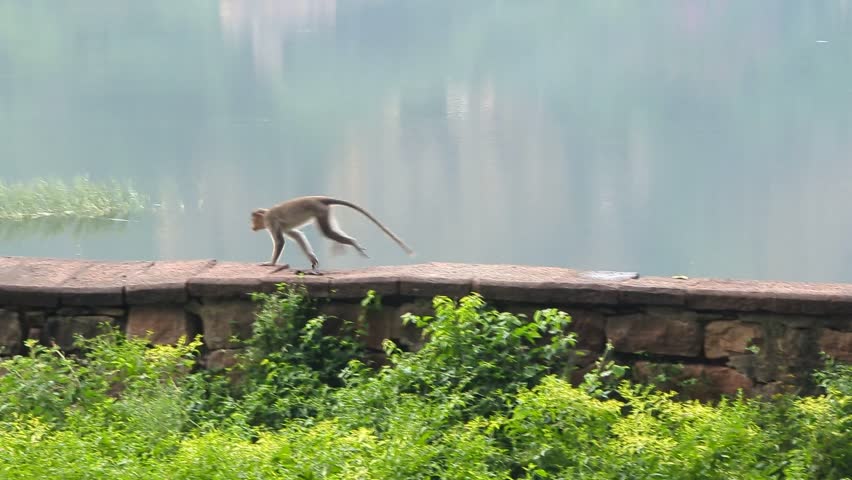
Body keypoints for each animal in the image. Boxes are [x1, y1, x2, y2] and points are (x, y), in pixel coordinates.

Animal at [251, 196, 414, 274]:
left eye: (253, 218)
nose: (251, 226)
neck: (266, 214)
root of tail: (318, 198)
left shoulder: (271, 221)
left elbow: (280, 241)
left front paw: (270, 263)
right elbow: (297, 235)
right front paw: (312, 258)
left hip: (320, 210)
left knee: (327, 232)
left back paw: (353, 243)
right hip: (323, 211)